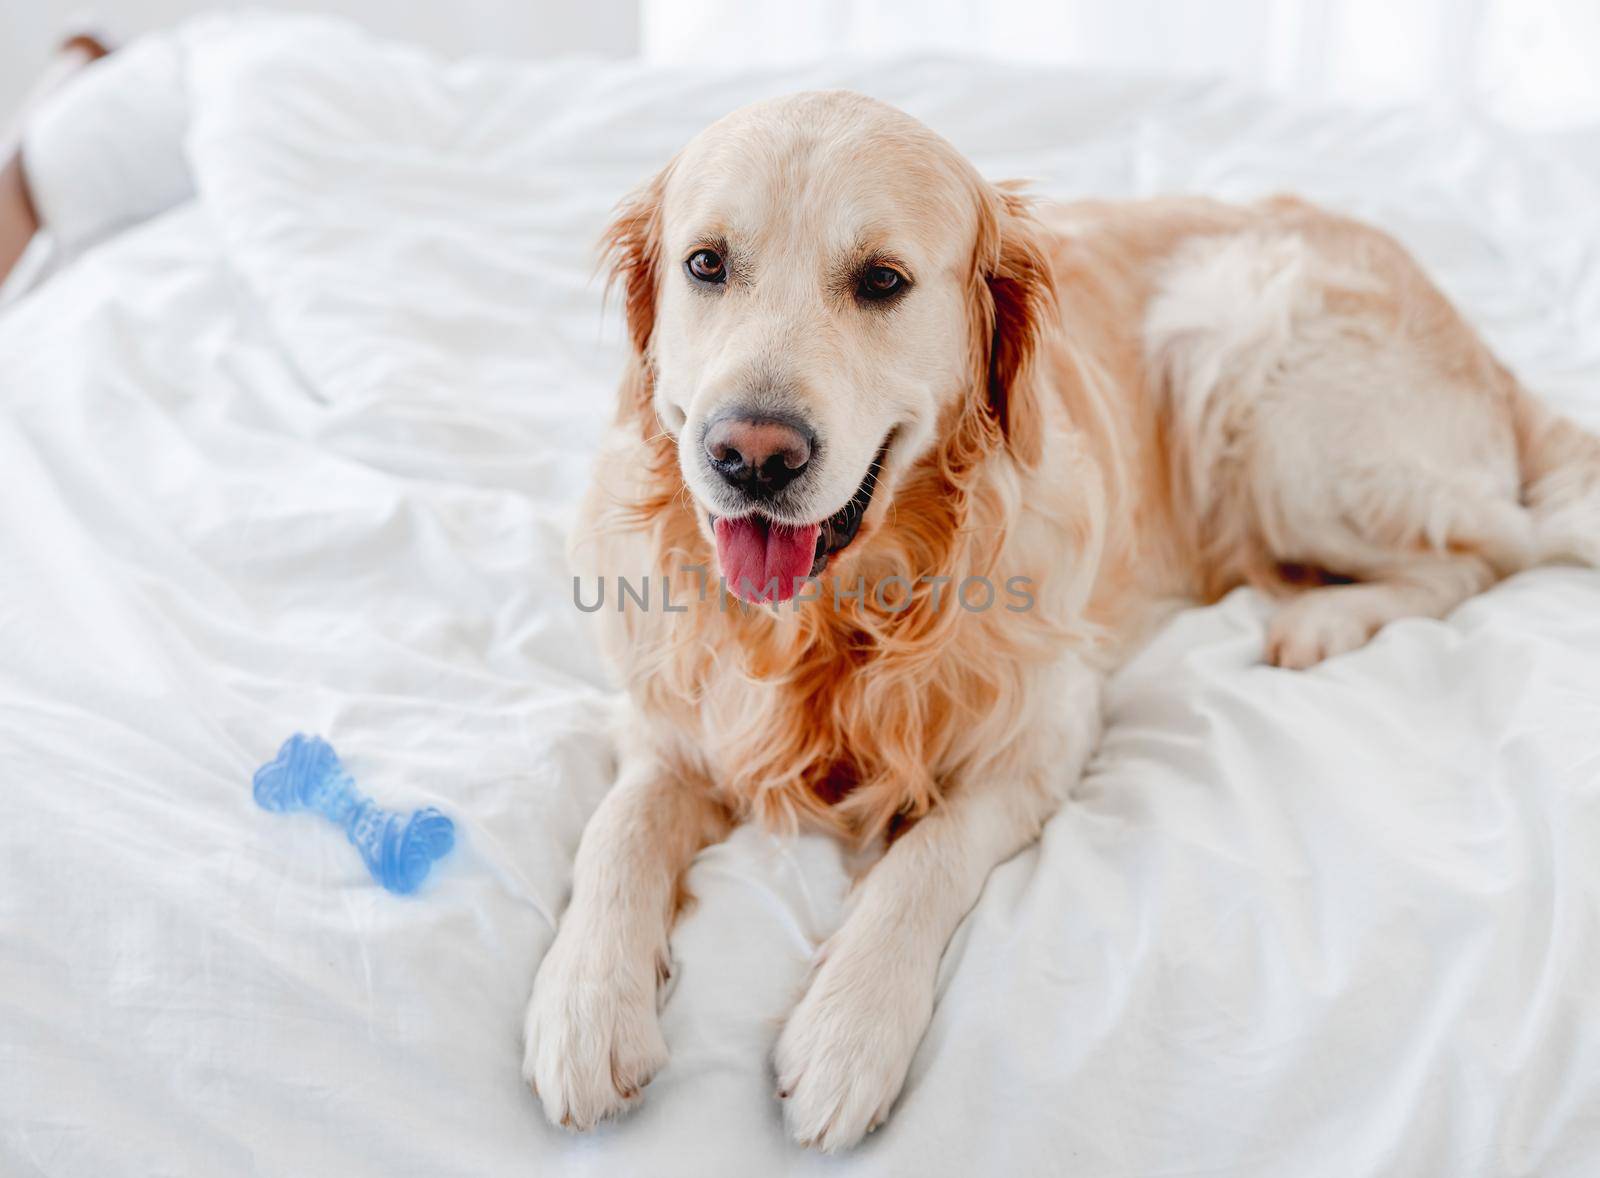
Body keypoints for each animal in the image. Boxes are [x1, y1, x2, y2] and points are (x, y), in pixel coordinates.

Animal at [524, 89, 1600, 1152]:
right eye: (707, 263)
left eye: (881, 280)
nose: (749, 455)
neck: (844, 613)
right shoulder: (668, 718)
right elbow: (618, 829)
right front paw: (584, 1001)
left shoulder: (1046, 734)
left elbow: (927, 856)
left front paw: (847, 1029)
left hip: (1248, 360)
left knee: (1490, 546)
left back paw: (1324, 619)